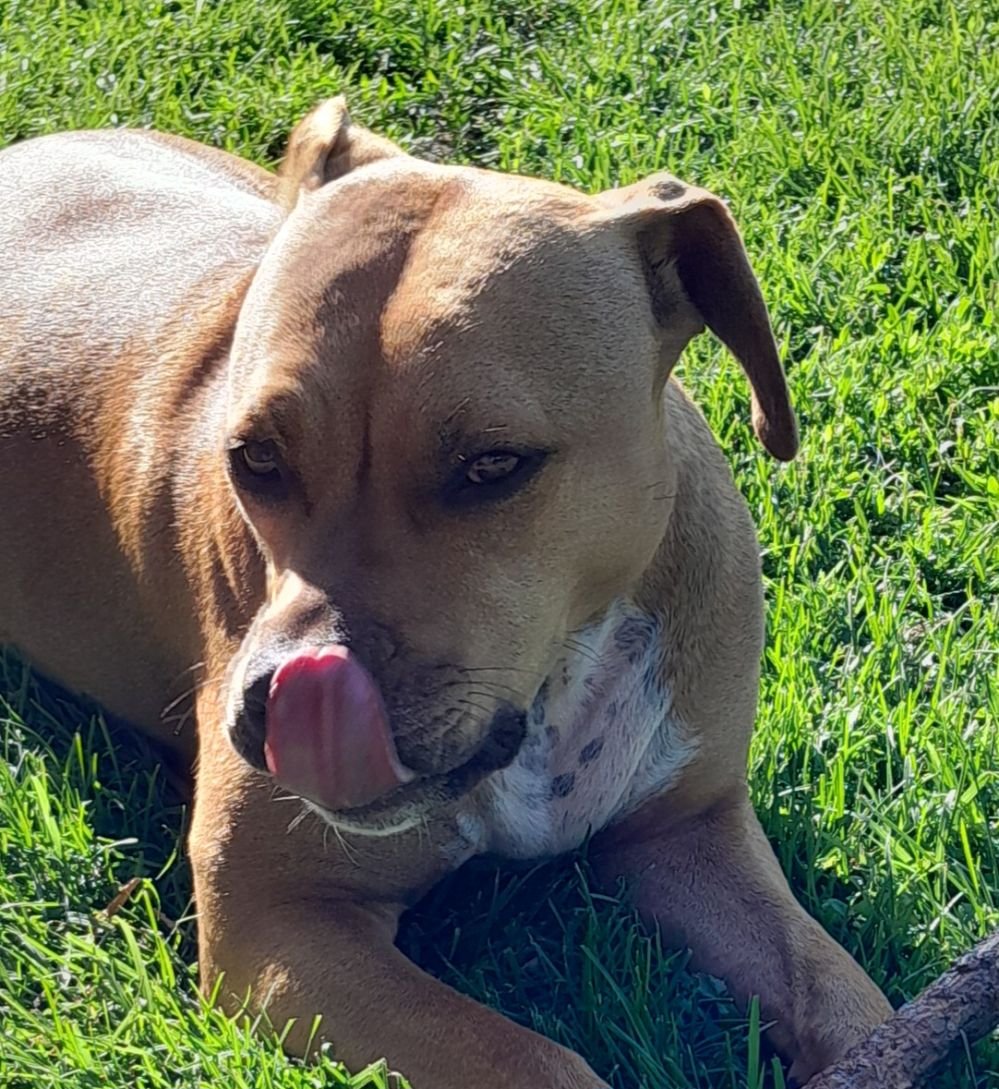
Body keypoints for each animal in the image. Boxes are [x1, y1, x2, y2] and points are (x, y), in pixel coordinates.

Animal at [0, 98, 891, 1086]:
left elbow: (849, 999)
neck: (550, 694)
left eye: (493, 464)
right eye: (255, 457)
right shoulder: (277, 924)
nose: (284, 700)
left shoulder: (692, 831)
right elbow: (535, 1060)